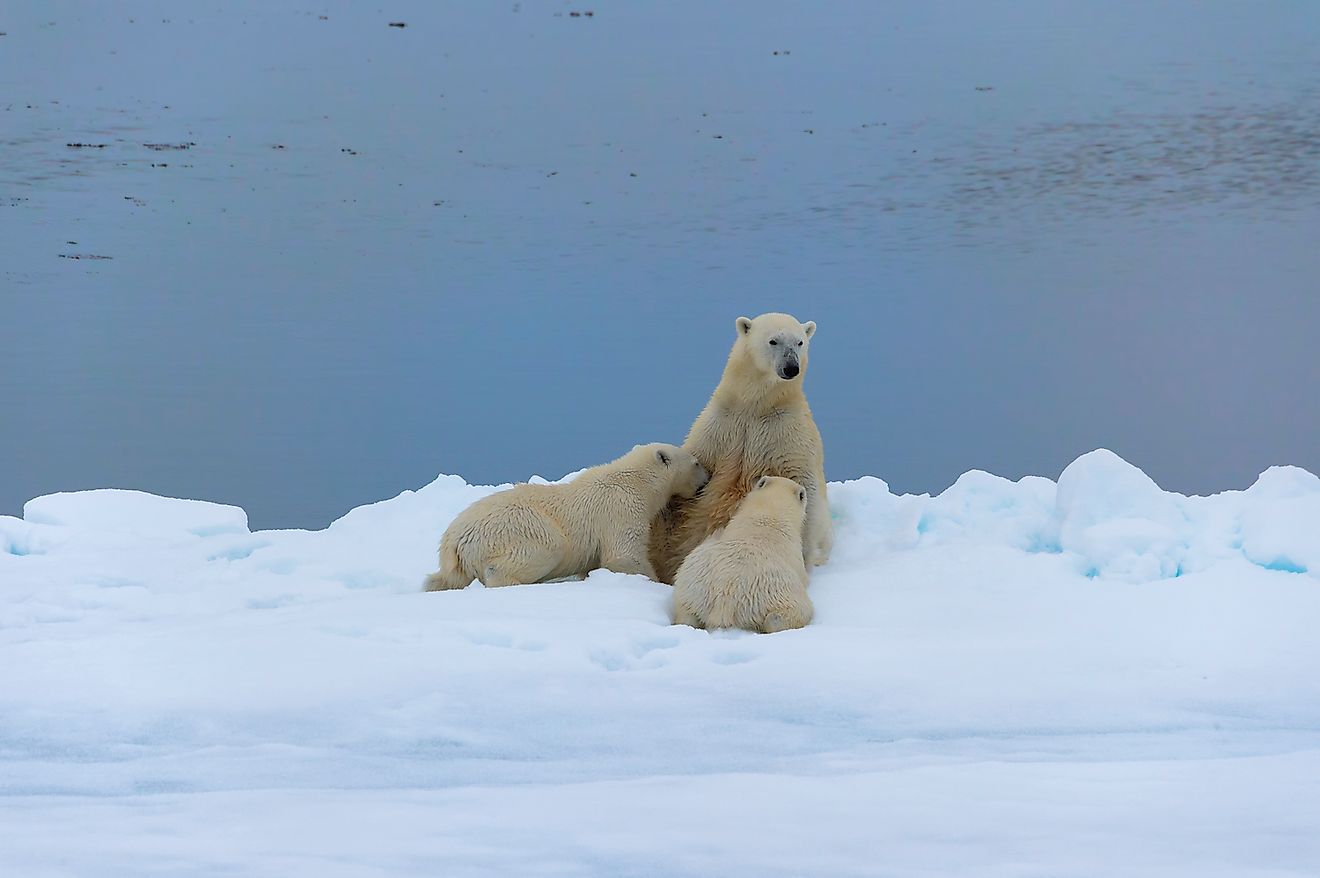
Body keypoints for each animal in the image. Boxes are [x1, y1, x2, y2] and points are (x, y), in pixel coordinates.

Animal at [427, 446, 707, 588]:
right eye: (696, 462)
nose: (707, 477)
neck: (636, 481)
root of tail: (452, 540)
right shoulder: (622, 509)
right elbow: (624, 555)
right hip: (514, 527)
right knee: (548, 546)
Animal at [652, 311, 834, 586]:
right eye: (773, 340)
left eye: (800, 342)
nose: (791, 368)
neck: (755, 406)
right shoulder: (720, 426)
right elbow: (695, 467)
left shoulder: (786, 431)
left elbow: (803, 482)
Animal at [670, 475, 813, 633]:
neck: (768, 513)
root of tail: (725, 600)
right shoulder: (794, 553)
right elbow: (804, 576)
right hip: (772, 595)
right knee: (785, 614)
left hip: (692, 586)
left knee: (686, 613)